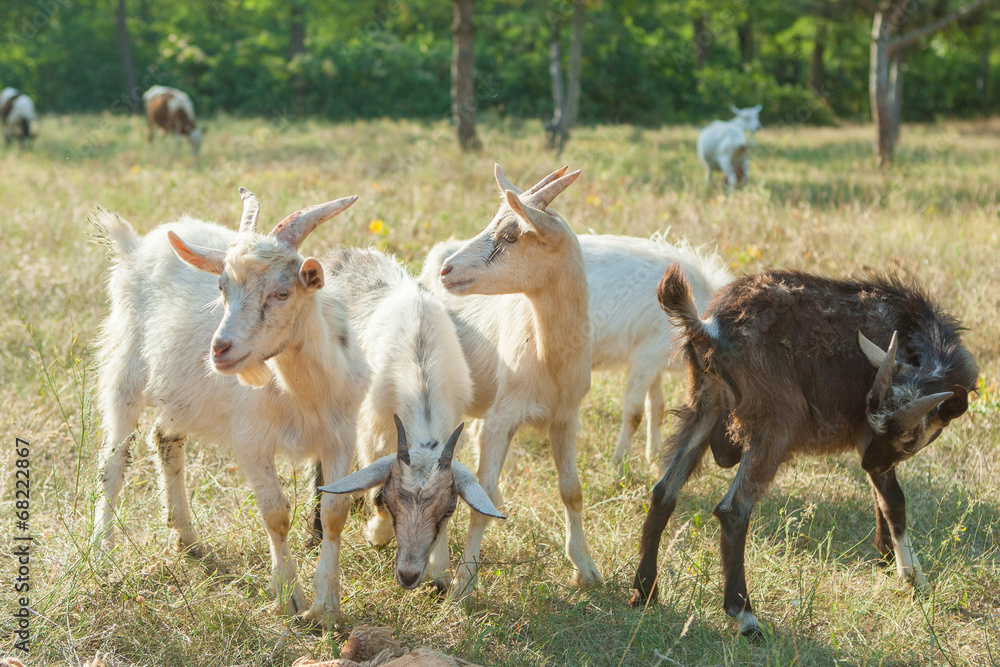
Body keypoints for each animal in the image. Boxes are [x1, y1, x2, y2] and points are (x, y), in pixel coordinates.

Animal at [91, 188, 370, 625]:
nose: (220, 349)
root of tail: (134, 247)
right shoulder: (251, 439)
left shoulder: (341, 434)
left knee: (165, 438)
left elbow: (334, 512)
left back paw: (187, 538)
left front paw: (326, 607)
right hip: (125, 369)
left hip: (180, 392)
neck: (302, 392)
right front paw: (290, 597)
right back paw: (103, 555)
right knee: (114, 460)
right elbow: (276, 513)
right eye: (222, 288)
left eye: (282, 292)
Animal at [308, 247, 501, 591]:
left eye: (449, 509)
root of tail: (345, 253)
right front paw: (376, 534)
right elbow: (372, 492)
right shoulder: (371, 434)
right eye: (390, 499)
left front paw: (440, 575)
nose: (409, 575)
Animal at [417, 164, 602, 597]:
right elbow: (482, 499)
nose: (448, 271)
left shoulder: (566, 417)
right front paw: (463, 585)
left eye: (510, 236)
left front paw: (585, 569)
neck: (549, 360)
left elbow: (573, 490)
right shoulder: (502, 420)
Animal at [630, 265, 978, 639]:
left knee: (664, 491)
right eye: (909, 441)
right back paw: (746, 617)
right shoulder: (866, 436)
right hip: (774, 424)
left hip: (704, 406)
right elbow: (894, 500)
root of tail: (710, 328)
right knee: (733, 510)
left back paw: (644, 591)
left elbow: (880, 496)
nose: (867, 463)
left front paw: (886, 556)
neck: (912, 330)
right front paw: (913, 578)